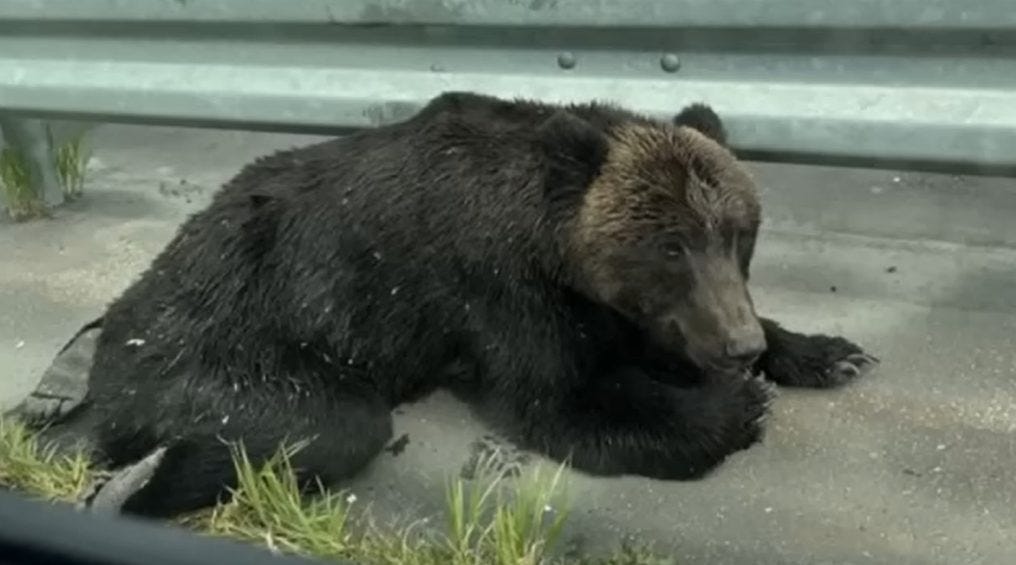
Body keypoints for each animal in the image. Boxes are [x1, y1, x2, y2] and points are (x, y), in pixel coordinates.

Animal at [27, 91, 877, 516]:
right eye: (671, 244)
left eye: (738, 232)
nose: (737, 347)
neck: (545, 234)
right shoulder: (490, 287)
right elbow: (563, 403)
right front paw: (735, 404)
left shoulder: (597, 298)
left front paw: (825, 350)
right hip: (224, 345)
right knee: (324, 424)